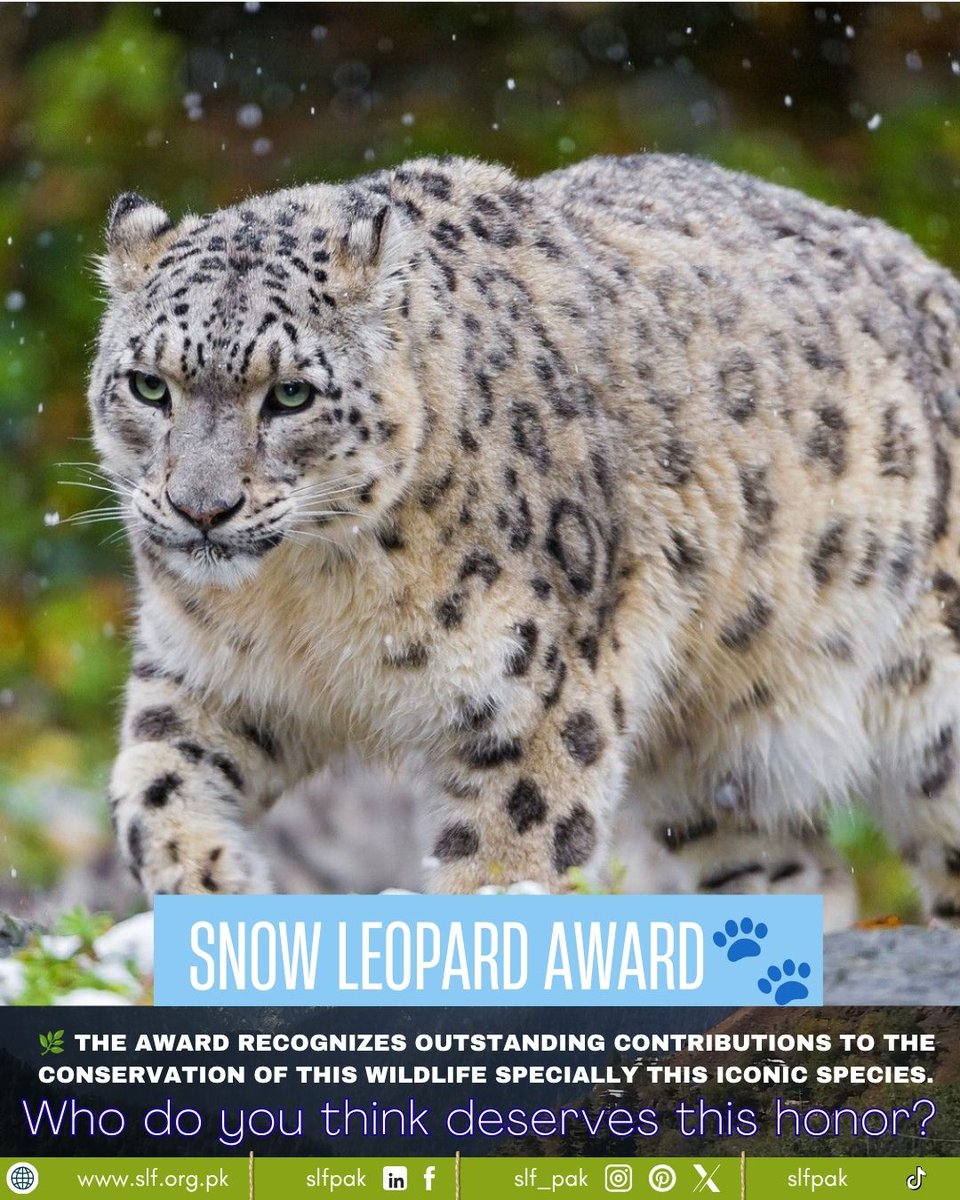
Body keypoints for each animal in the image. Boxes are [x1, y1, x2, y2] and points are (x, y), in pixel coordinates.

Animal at [86, 152, 960, 926]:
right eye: (149, 385)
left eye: (292, 394)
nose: (202, 509)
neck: (304, 596)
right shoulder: (207, 675)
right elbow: (150, 787)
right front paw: (214, 884)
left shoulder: (532, 697)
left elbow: (508, 856)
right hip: (714, 768)